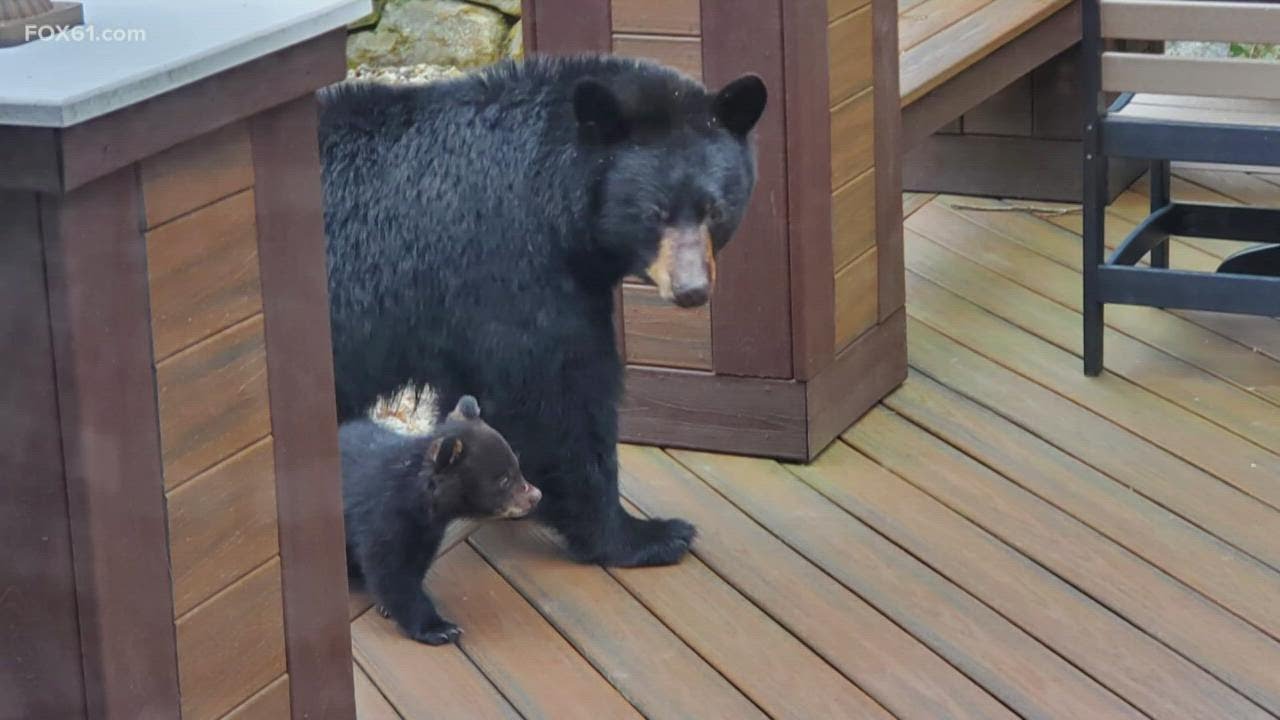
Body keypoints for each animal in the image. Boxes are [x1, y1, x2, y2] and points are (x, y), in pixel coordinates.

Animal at [319, 54, 767, 568]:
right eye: (653, 213)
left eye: (715, 209)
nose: (691, 289)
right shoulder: (512, 266)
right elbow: (555, 395)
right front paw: (641, 534)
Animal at [341, 393, 541, 645]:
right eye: (504, 479)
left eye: (517, 465)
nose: (536, 496)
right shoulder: (383, 520)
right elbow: (392, 573)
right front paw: (439, 628)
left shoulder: (428, 533)